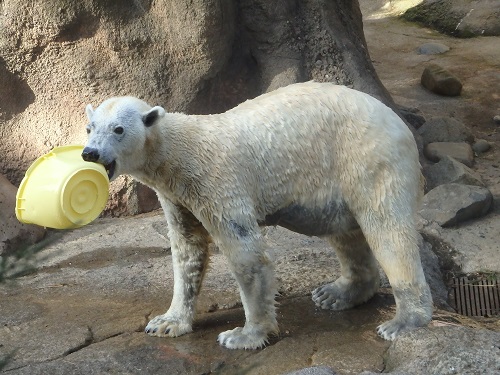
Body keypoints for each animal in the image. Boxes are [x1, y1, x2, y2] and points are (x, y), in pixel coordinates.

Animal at [83, 81, 434, 350]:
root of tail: (399, 124)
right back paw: (335, 293)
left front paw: (242, 335)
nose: (90, 152)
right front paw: (166, 322)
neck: (180, 154)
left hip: (368, 159)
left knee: (388, 232)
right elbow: (187, 250)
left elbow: (247, 254)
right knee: (344, 232)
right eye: (90, 127)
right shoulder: (176, 197)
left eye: (118, 129)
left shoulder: (217, 184)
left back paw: (403, 322)